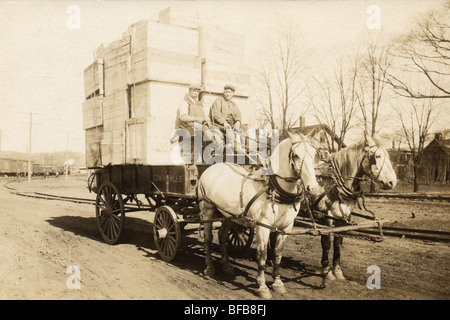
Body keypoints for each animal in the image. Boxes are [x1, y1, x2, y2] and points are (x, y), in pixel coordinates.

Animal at [198, 131, 320, 298]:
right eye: (295, 155)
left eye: (315, 154)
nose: (313, 189)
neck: (275, 190)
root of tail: (212, 167)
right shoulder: (263, 226)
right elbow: (262, 256)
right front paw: (262, 287)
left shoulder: (286, 228)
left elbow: (277, 255)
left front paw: (278, 283)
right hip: (208, 209)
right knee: (208, 238)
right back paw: (209, 268)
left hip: (228, 215)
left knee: (222, 236)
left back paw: (227, 266)